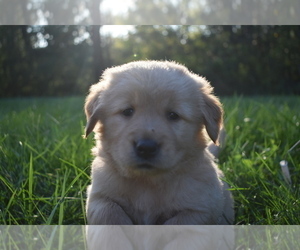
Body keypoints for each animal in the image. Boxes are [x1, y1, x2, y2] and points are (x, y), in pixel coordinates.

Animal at [84, 60, 234, 225]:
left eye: (173, 115)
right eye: (127, 111)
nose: (146, 148)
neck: (147, 182)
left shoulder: (202, 209)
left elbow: (176, 226)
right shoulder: (99, 195)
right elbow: (108, 213)